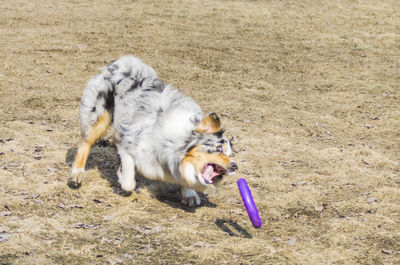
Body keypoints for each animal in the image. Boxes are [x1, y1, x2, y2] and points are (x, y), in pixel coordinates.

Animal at [71, 54, 238, 205]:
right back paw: (76, 174)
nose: (235, 166)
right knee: (85, 144)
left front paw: (189, 193)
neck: (174, 142)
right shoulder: (128, 145)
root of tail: (122, 60)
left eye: (230, 154)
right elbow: (129, 181)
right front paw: (123, 179)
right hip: (99, 117)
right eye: (219, 148)